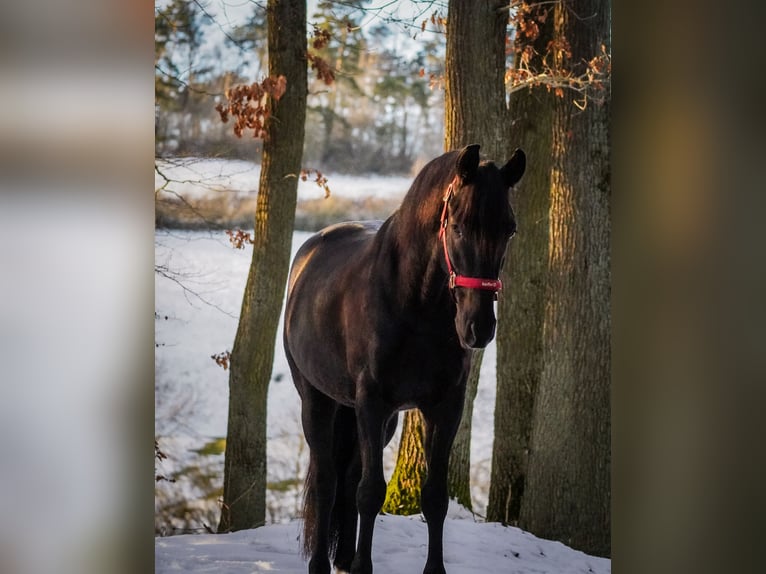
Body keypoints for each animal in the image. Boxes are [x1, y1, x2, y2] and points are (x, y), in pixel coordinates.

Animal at [284, 144, 528, 574]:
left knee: (348, 476)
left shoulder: (444, 408)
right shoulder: (372, 403)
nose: (478, 327)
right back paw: (321, 564)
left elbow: (434, 497)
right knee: (328, 480)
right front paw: (363, 568)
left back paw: (343, 558)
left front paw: (433, 569)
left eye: (509, 229)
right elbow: (370, 492)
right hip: (318, 401)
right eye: (459, 227)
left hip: (376, 420)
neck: (413, 303)